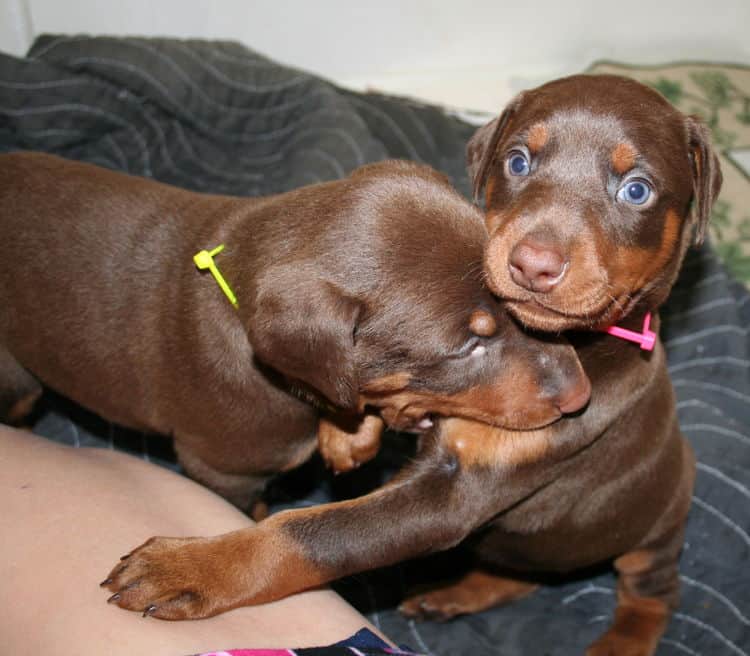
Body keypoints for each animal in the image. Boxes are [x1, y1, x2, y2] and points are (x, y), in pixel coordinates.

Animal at [400, 74, 724, 652]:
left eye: (636, 190)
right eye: (517, 161)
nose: (532, 265)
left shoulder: (469, 482)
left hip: (657, 523)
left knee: (653, 596)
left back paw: (620, 642)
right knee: (522, 574)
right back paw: (454, 592)